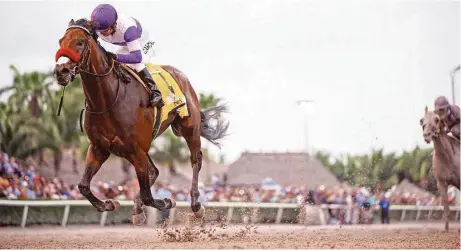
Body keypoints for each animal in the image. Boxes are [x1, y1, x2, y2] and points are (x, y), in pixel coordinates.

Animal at [53, 18, 229, 226]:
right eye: (61, 41)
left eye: (80, 42)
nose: (61, 71)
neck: (108, 99)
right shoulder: (99, 148)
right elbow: (83, 186)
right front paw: (108, 204)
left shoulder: (136, 149)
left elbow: (148, 196)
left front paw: (167, 201)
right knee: (154, 171)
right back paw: (137, 209)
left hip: (188, 128)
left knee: (196, 160)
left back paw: (196, 204)